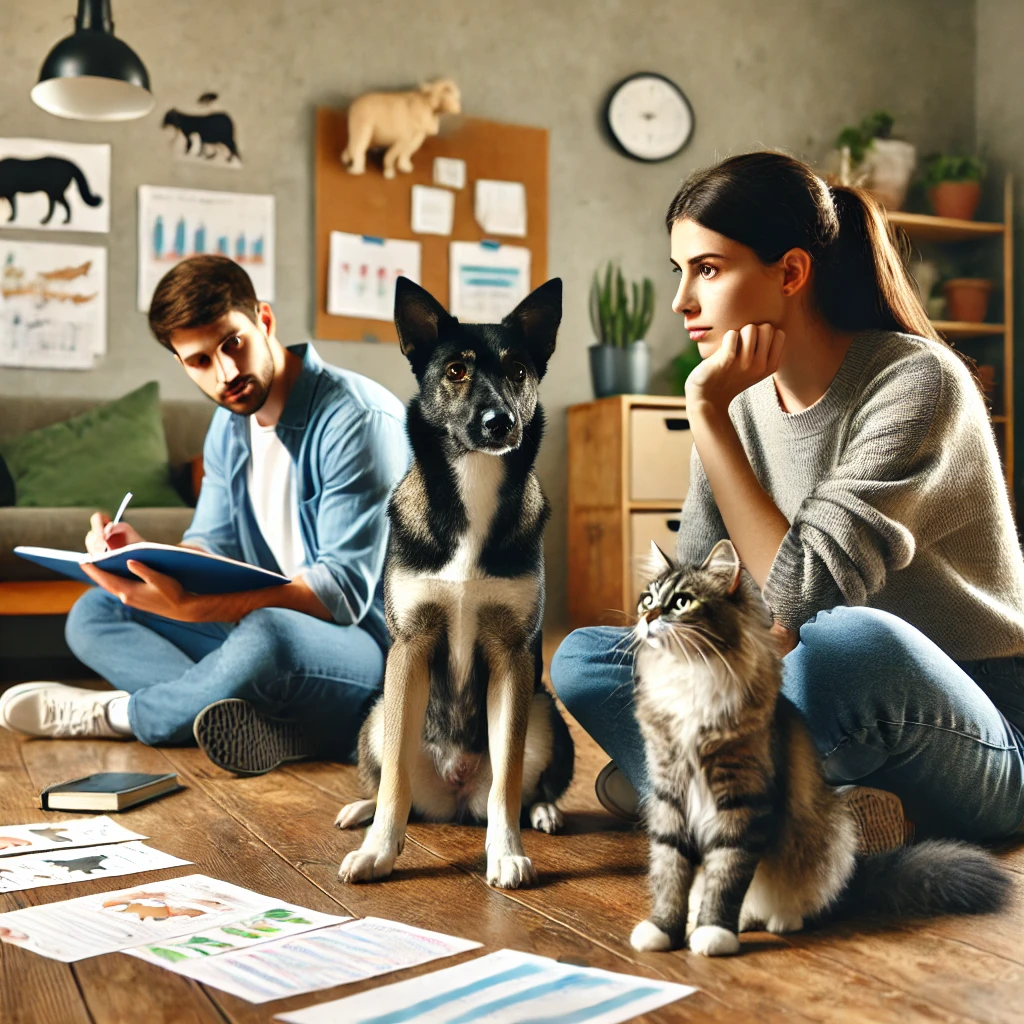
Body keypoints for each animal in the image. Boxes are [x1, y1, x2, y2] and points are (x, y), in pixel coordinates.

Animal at [337, 274, 573, 888]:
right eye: (456, 370)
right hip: (378, 711)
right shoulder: (410, 649)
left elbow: (508, 780)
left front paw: (507, 851)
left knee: (521, 786)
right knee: (391, 782)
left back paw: (543, 811)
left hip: (546, 713)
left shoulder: (513, 658)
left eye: (518, 370)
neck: (474, 480)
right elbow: (394, 779)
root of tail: (454, 793)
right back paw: (361, 811)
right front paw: (380, 850)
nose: (500, 423)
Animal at [626, 540, 1011, 954]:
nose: (647, 617)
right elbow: (670, 873)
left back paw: (777, 921)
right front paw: (663, 930)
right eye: (647, 599)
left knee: (794, 900)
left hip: (829, 836)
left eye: (682, 602)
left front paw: (714, 933)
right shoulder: (669, 795)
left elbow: (726, 876)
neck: (687, 677)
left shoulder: (743, 801)